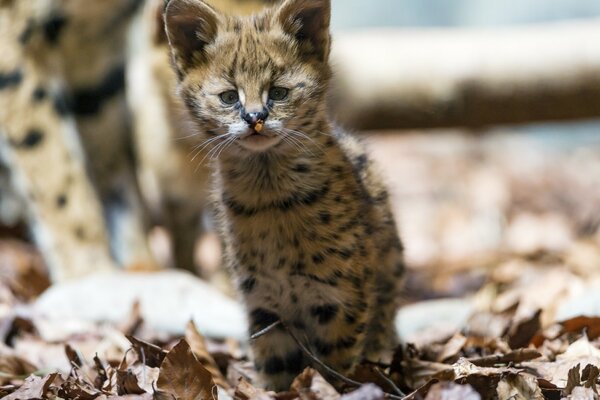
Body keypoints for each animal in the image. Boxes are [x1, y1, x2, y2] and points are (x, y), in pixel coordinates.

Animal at [165, 0, 404, 390]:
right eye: (228, 97)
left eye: (278, 92)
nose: (254, 118)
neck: (270, 198)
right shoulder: (262, 302)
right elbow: (274, 366)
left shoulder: (342, 297)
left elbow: (337, 364)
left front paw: (334, 390)